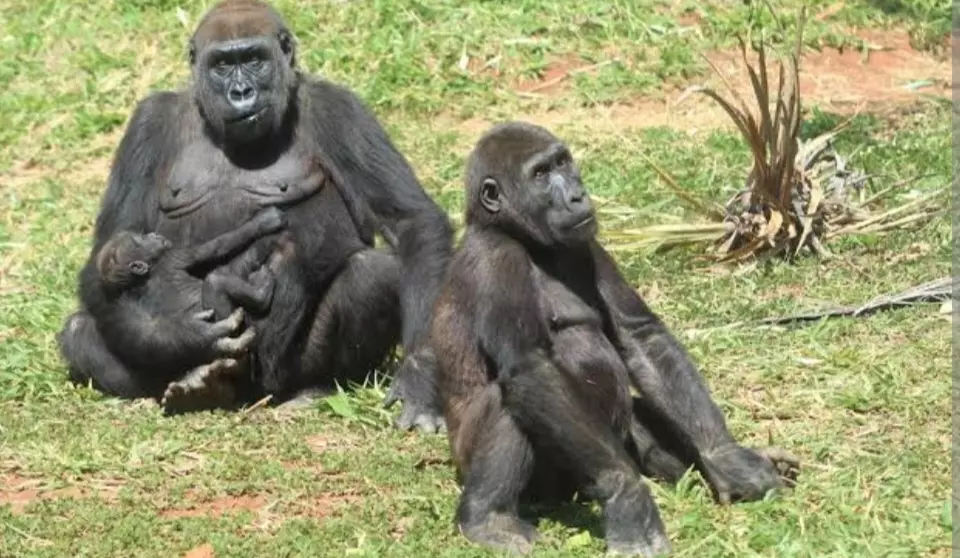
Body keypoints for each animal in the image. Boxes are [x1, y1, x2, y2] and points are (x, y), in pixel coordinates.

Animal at [57, 0, 454, 428]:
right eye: (221, 65)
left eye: (253, 59)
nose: (241, 93)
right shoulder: (148, 123)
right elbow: (109, 246)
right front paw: (176, 336)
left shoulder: (340, 109)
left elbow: (410, 221)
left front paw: (422, 378)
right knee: (80, 330)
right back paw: (193, 382)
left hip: (279, 373)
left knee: (371, 274)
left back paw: (315, 387)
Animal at [432, 123, 800, 558]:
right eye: (540, 174)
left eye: (562, 163)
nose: (577, 194)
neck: (516, 234)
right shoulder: (496, 259)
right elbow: (530, 367)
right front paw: (627, 496)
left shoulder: (587, 242)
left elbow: (640, 336)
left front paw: (726, 458)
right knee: (513, 399)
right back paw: (487, 518)